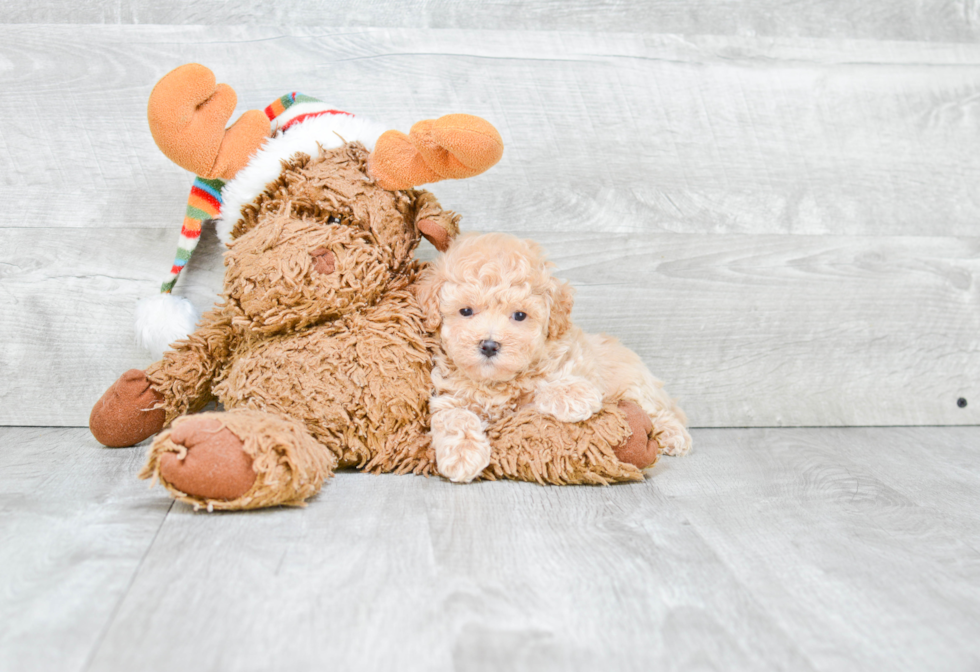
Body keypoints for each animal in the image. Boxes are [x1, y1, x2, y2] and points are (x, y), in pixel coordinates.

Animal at [418, 232, 692, 484]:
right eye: (465, 311)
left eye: (520, 315)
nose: (489, 345)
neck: (495, 383)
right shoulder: (447, 398)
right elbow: (455, 418)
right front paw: (462, 456)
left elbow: (542, 386)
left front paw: (575, 394)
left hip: (637, 387)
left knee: (662, 412)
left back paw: (674, 436)